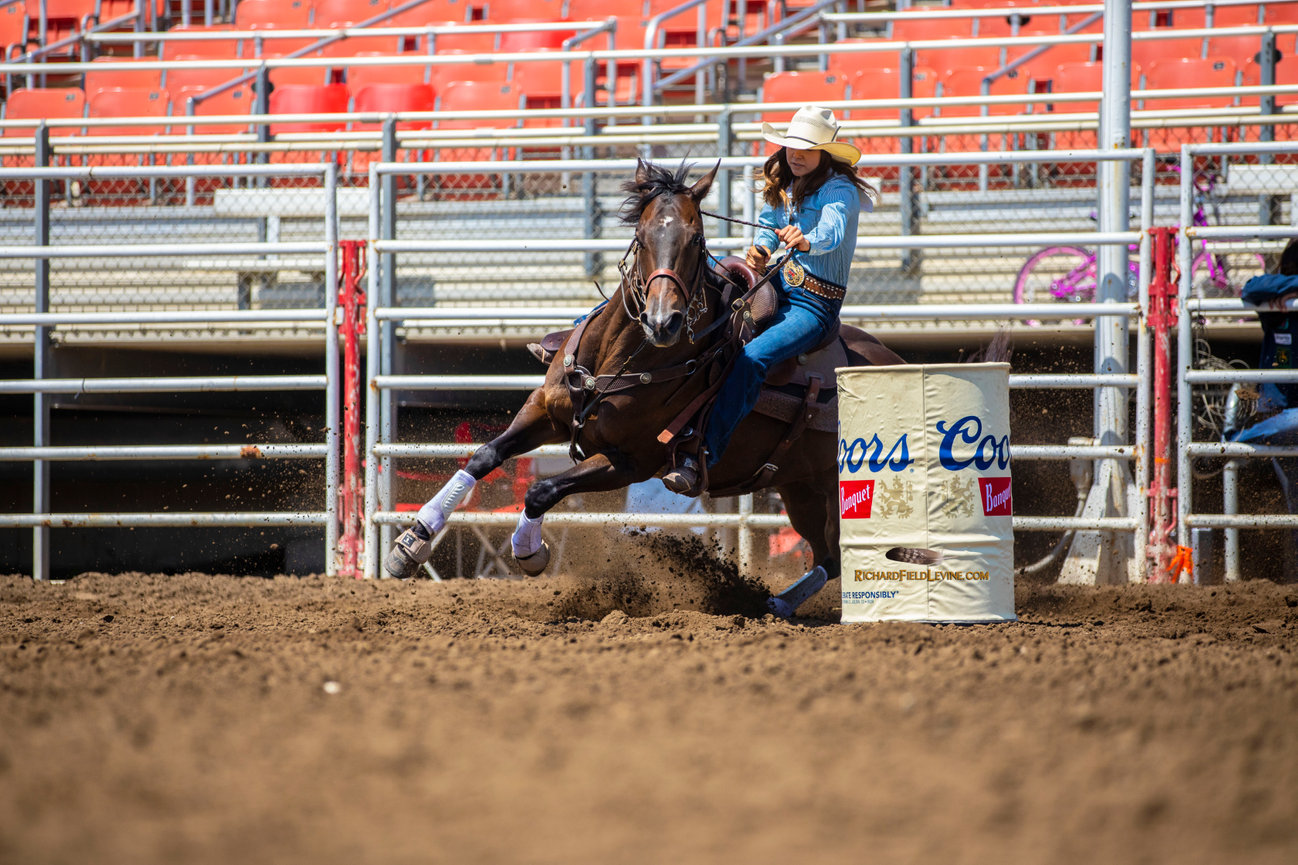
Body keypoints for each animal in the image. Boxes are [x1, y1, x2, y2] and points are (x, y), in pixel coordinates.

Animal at [389, 159, 905, 617]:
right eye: (641, 236)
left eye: (696, 239)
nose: (663, 321)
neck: (621, 359)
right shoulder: (544, 411)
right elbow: (484, 457)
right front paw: (412, 541)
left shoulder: (631, 462)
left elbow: (542, 490)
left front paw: (529, 551)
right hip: (802, 487)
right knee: (828, 557)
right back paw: (774, 603)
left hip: (834, 486)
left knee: (838, 556)